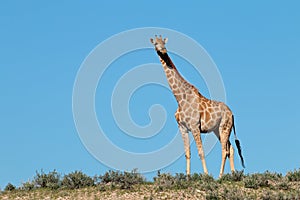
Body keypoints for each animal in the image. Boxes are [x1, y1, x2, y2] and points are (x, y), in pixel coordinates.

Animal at [150, 35, 244, 177]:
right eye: (156, 44)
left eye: (164, 43)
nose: (163, 50)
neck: (180, 98)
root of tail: (232, 113)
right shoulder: (182, 127)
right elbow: (187, 153)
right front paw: (188, 177)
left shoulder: (195, 126)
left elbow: (201, 152)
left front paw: (206, 175)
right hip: (217, 130)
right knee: (231, 148)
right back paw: (233, 174)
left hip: (224, 127)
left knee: (224, 150)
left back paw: (220, 176)